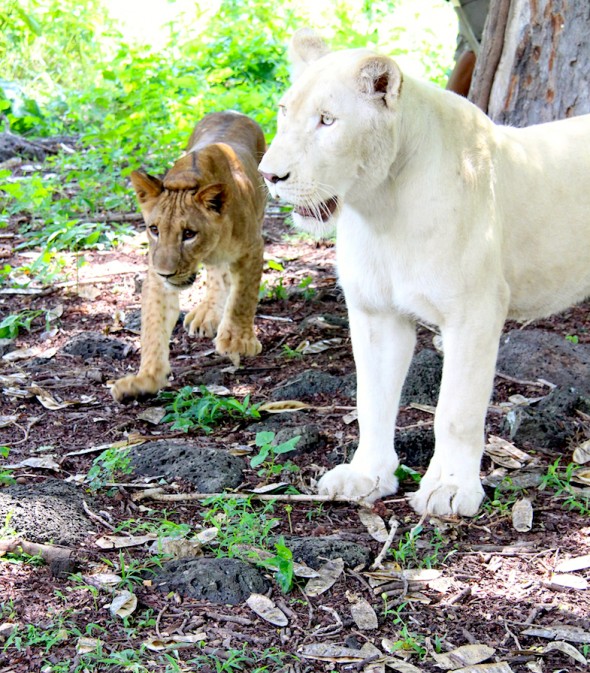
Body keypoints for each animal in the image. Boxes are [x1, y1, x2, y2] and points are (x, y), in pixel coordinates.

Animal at [111, 111, 266, 403]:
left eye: (189, 234)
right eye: (154, 229)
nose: (166, 272)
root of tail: (231, 112)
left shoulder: (253, 247)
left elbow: (243, 297)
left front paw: (237, 340)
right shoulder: (157, 276)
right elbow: (153, 327)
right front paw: (146, 379)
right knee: (217, 275)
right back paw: (206, 314)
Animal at [258, 30, 590, 516]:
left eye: (327, 121)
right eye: (284, 112)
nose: (269, 175)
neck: (381, 207)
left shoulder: (474, 312)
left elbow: (455, 411)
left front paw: (450, 489)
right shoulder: (376, 313)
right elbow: (372, 400)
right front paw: (367, 476)